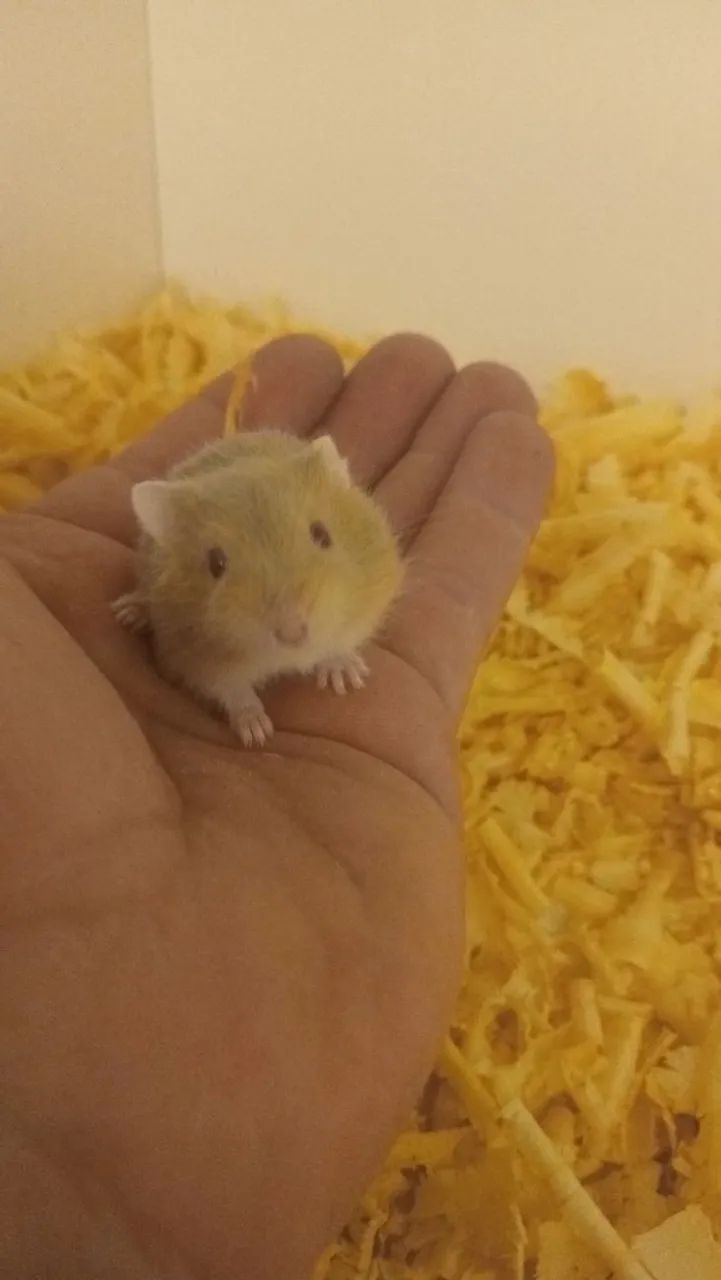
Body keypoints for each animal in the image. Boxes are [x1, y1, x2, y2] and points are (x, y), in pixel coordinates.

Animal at [113, 429, 404, 747]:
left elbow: (340, 643)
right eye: (216, 564)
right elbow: (235, 692)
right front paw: (257, 735)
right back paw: (128, 614)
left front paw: (347, 680)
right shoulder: (199, 659)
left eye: (322, 534)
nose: (292, 633)